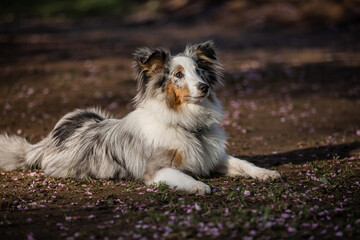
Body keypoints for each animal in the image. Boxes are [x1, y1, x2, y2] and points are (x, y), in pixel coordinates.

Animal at [0, 41, 280, 194]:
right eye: (178, 75)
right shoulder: (154, 170)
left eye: (199, 71)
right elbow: (183, 176)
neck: (186, 123)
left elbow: (243, 163)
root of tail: (48, 139)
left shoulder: (212, 157)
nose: (204, 87)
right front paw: (199, 186)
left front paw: (266, 173)